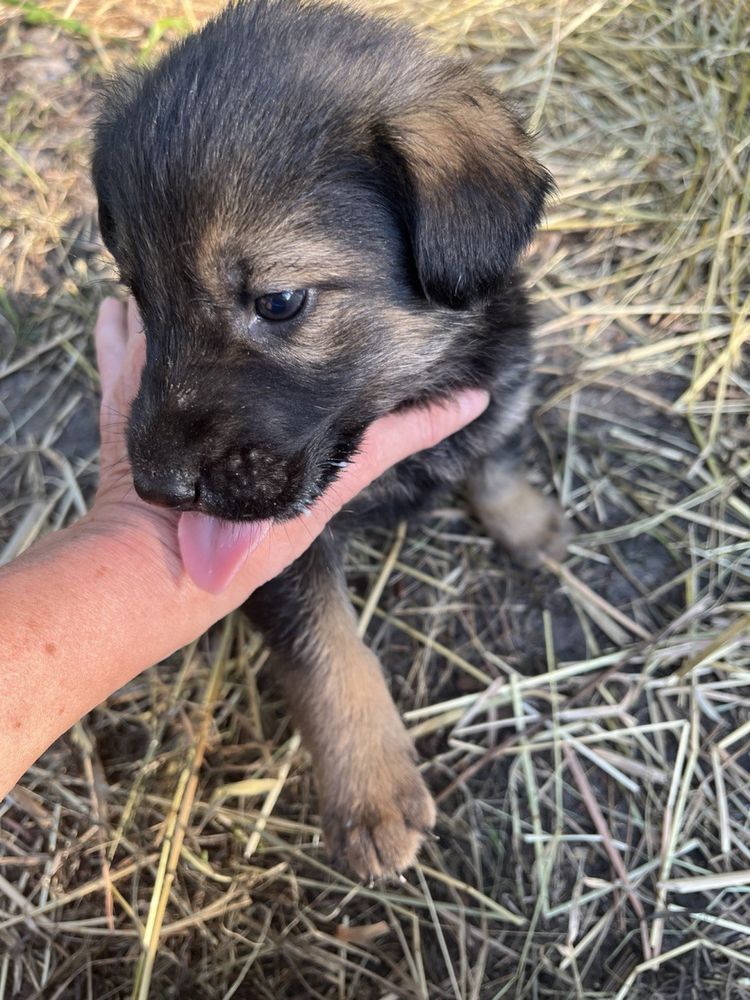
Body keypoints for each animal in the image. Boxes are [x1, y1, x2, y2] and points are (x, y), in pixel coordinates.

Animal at [91, 0, 568, 876]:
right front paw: (372, 789)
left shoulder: (501, 373)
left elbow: (494, 454)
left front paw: (526, 521)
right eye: (138, 296)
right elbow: (328, 651)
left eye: (278, 301)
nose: (159, 489)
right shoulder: (280, 552)